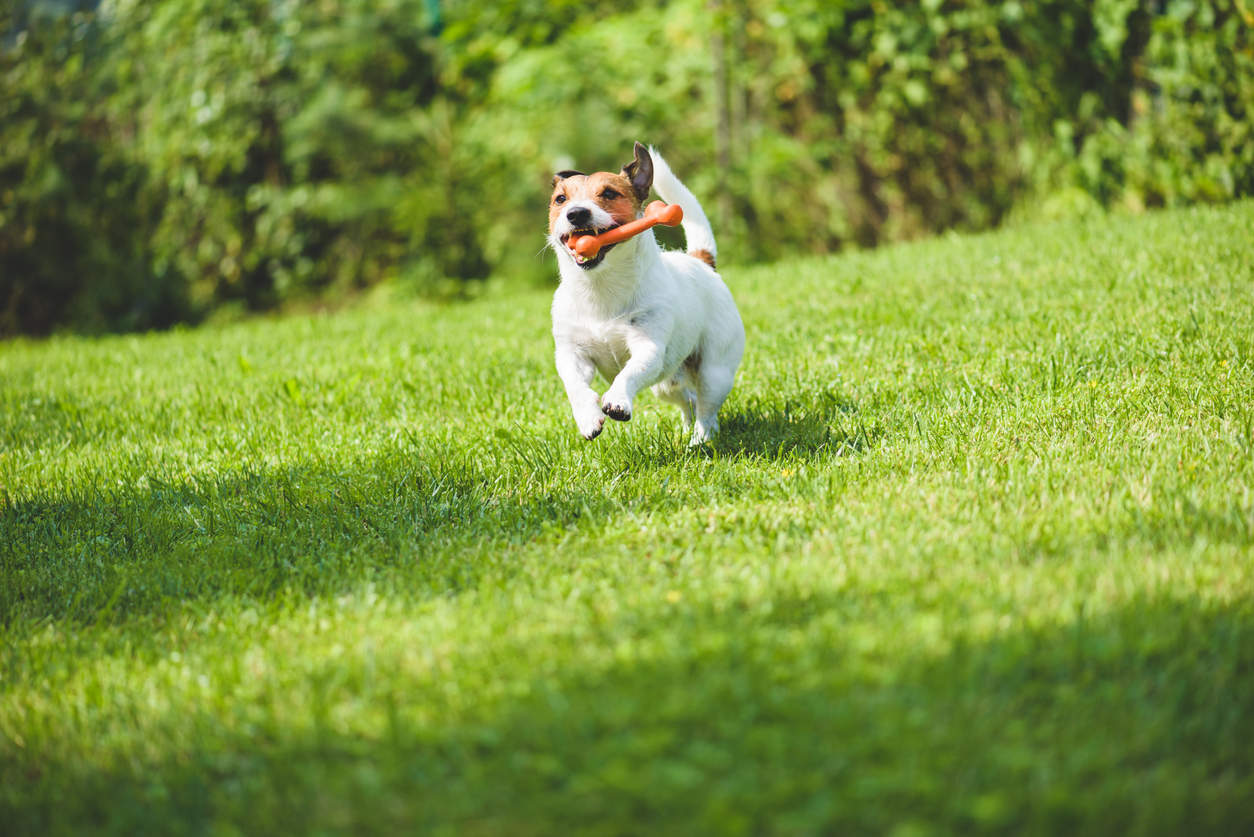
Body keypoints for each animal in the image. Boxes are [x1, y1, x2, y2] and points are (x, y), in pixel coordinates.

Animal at [544, 143, 737, 444]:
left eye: (609, 193)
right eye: (560, 199)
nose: (576, 213)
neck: (601, 287)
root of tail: (702, 261)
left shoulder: (649, 348)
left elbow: (629, 372)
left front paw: (617, 400)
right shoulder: (571, 353)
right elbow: (574, 383)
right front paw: (587, 417)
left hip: (714, 371)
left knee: (707, 411)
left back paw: (699, 440)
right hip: (667, 383)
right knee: (689, 401)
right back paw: (687, 432)